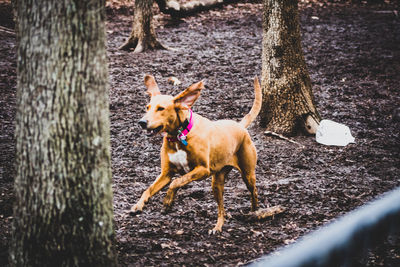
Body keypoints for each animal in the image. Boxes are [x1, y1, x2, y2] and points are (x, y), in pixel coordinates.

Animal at [131, 75, 262, 234]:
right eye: (147, 107)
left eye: (161, 108)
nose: (142, 122)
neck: (179, 136)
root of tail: (240, 126)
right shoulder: (166, 174)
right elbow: (149, 189)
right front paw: (138, 205)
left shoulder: (202, 170)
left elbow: (176, 181)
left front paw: (167, 201)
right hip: (217, 182)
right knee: (221, 209)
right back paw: (218, 226)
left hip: (247, 174)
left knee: (254, 191)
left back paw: (255, 211)